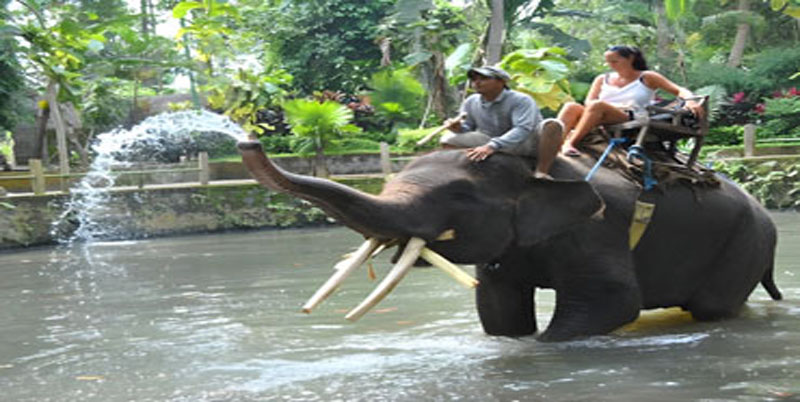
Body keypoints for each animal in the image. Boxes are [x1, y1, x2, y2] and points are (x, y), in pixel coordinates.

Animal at [238, 141, 780, 342]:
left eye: (460, 195)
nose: (247, 140)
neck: (534, 168)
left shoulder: (596, 228)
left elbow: (611, 301)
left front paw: (541, 347)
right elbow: (498, 309)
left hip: (746, 243)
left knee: (713, 307)